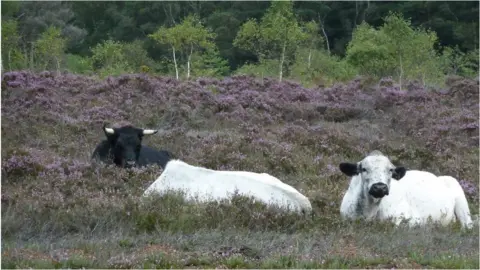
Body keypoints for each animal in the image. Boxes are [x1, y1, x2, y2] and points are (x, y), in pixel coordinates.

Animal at [338, 150, 472, 228]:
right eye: (364, 169)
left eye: (390, 170)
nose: (380, 187)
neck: (368, 213)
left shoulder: (410, 218)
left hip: (462, 206)